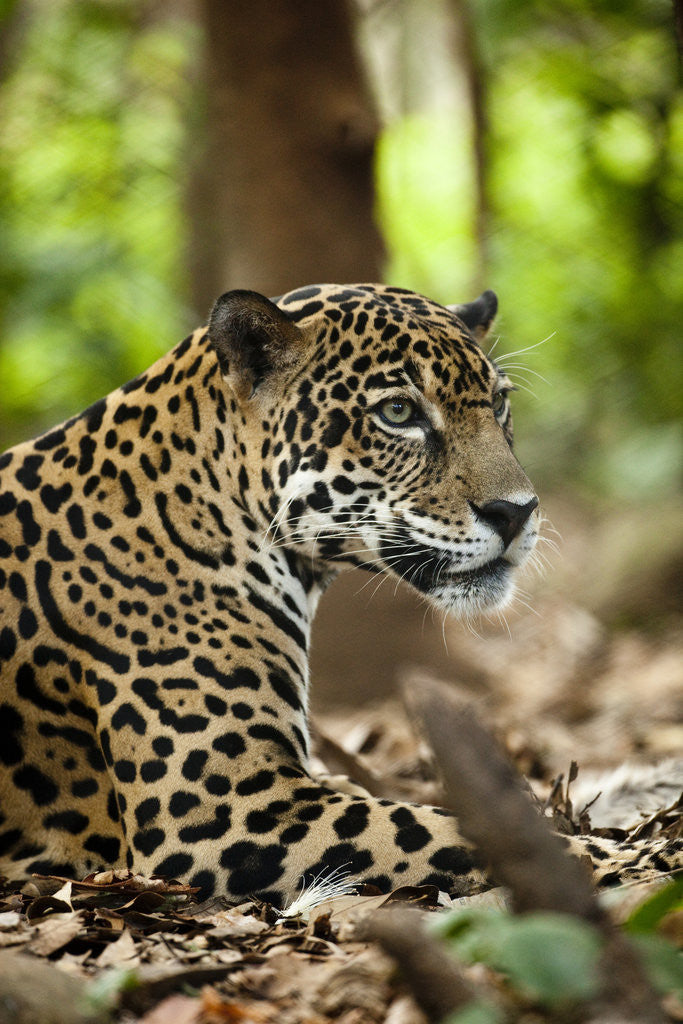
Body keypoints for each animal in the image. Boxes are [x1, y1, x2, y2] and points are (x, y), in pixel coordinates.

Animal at [0, 283, 679, 905]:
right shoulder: (225, 809)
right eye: (398, 413)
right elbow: (434, 830)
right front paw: (630, 861)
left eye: (498, 404)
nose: (516, 513)